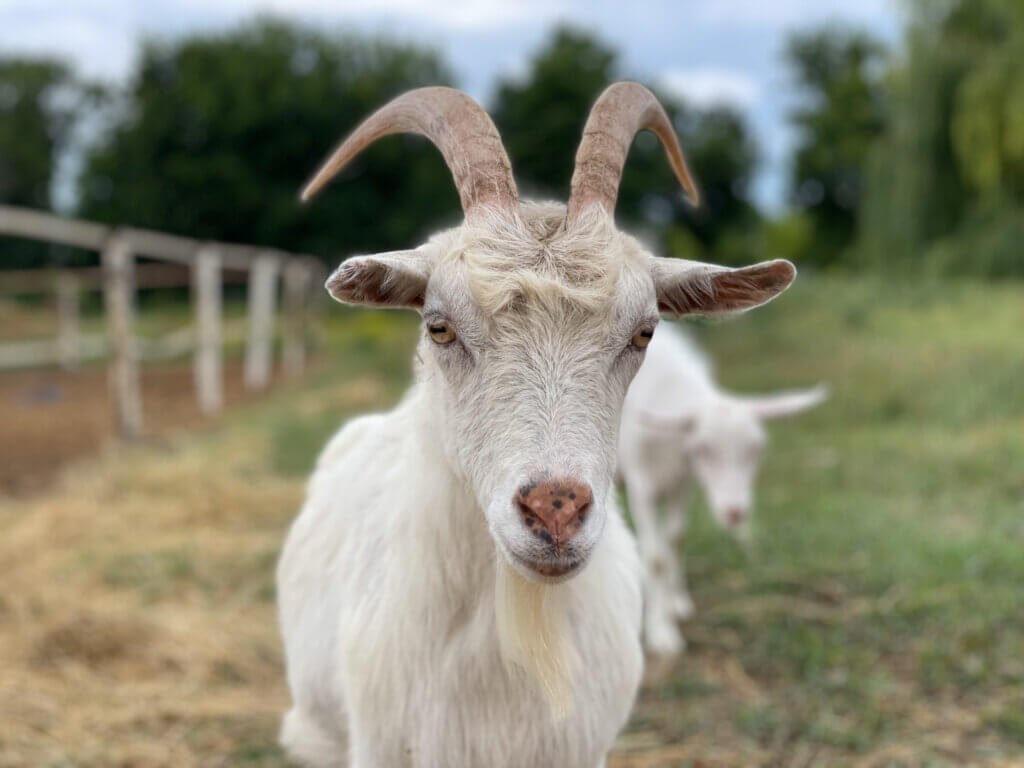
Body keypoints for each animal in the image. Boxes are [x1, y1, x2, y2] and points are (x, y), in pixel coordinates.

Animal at [618, 322, 826, 657]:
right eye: (703, 449)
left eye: (757, 449)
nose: (735, 513)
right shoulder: (642, 485)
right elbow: (655, 558)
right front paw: (661, 633)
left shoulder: (681, 483)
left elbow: (675, 539)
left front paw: (676, 603)